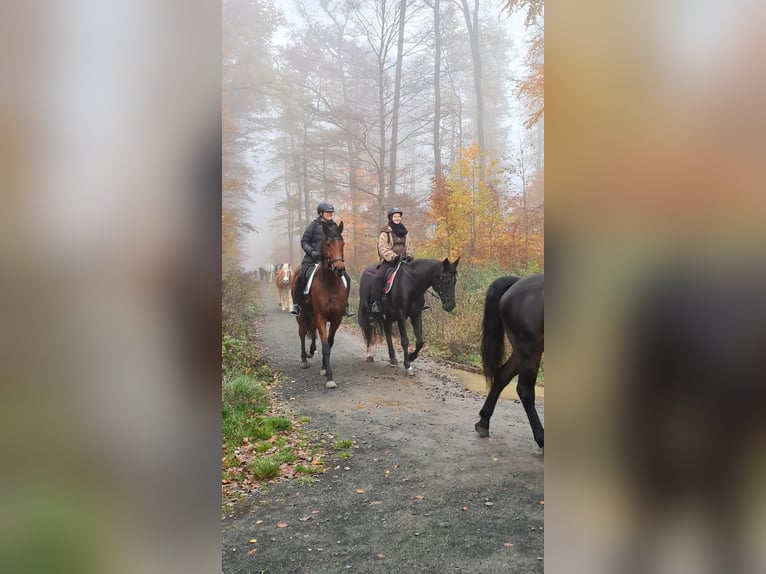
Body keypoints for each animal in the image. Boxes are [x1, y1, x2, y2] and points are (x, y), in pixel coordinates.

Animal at [294, 220, 348, 392]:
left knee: (312, 332)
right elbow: (325, 346)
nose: (339, 269)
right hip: (301, 315)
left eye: (342, 243)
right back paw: (304, 359)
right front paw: (330, 378)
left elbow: (329, 343)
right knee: (302, 333)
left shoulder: (336, 318)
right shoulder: (321, 317)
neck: (330, 284)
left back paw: (311, 352)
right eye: (327, 243)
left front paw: (324, 368)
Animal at [474, 274, 544, 450]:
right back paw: (541, 438)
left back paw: (484, 421)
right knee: (525, 391)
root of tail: (517, 283)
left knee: (502, 375)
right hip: (529, 349)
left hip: (523, 351)